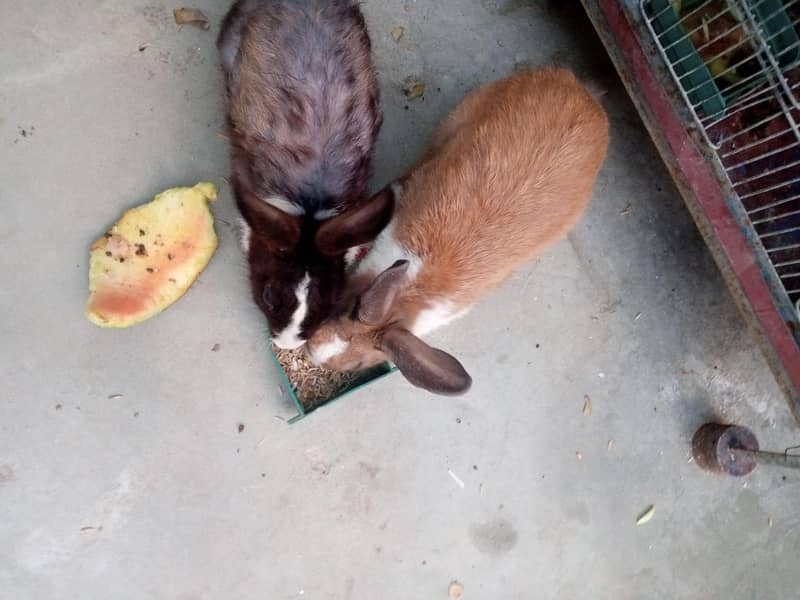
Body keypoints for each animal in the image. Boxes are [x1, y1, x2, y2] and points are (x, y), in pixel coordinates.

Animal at [305, 68, 609, 394]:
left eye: (358, 364)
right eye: (347, 308)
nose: (313, 350)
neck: (409, 290)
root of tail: (583, 94)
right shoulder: (401, 188)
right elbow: (329, 235)